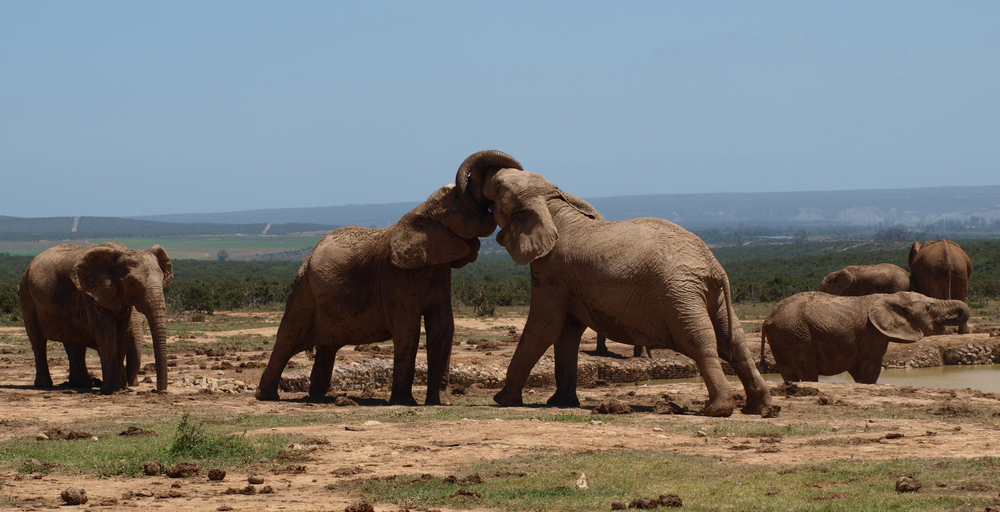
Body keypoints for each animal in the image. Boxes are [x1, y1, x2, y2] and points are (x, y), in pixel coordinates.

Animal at [18, 242, 172, 394]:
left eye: (162, 279)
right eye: (132, 283)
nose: (158, 391)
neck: (121, 251)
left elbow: (122, 331)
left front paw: (120, 387)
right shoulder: (91, 291)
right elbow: (105, 329)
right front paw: (111, 390)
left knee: (73, 341)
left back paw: (82, 384)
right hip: (26, 295)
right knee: (38, 340)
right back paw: (44, 384)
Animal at [254, 152, 516, 404]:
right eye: (456, 200)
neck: (420, 212)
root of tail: (310, 254)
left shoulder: (439, 272)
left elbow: (443, 328)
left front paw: (441, 402)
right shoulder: (394, 276)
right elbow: (408, 329)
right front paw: (405, 402)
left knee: (327, 348)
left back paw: (321, 397)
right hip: (303, 290)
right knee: (286, 340)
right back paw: (267, 396)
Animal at [458, 154, 776, 418]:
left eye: (497, 186)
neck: (553, 205)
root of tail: (713, 265)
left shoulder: (552, 271)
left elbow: (544, 327)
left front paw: (503, 400)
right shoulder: (569, 280)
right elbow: (566, 333)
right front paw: (560, 403)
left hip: (678, 291)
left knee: (700, 340)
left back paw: (717, 410)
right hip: (710, 296)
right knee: (734, 341)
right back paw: (762, 409)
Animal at [760, 292, 972, 384]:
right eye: (928, 307)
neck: (892, 296)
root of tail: (768, 319)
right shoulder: (873, 333)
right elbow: (870, 367)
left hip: (782, 336)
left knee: (788, 373)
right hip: (796, 335)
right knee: (808, 370)